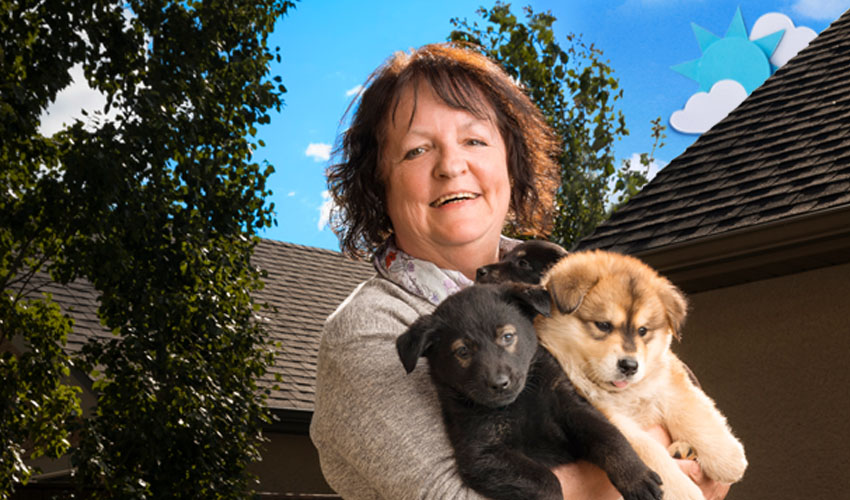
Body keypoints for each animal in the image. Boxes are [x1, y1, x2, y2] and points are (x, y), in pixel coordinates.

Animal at [398, 286, 664, 500]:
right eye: (462, 351)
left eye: (507, 336)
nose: (499, 383)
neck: (519, 402)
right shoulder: (480, 455)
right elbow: (546, 480)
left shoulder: (572, 407)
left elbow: (610, 437)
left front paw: (636, 476)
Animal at [536, 250, 744, 500]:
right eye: (603, 325)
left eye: (642, 330)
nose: (629, 365)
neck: (623, 394)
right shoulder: (604, 415)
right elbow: (648, 448)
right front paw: (683, 491)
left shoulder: (667, 378)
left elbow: (691, 410)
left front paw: (729, 458)